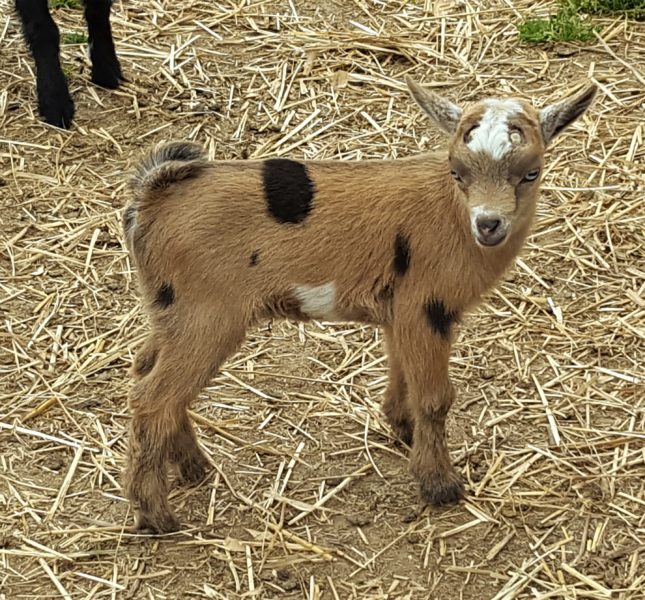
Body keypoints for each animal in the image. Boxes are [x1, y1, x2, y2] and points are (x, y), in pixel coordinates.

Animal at [123, 77, 596, 532]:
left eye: (531, 172)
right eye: (457, 172)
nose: (489, 224)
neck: (452, 215)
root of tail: (152, 197)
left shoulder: (402, 311)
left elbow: (402, 370)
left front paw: (402, 428)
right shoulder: (427, 306)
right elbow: (435, 397)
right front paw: (439, 484)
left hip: (170, 308)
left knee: (148, 371)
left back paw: (193, 467)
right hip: (207, 314)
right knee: (154, 399)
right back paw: (157, 516)